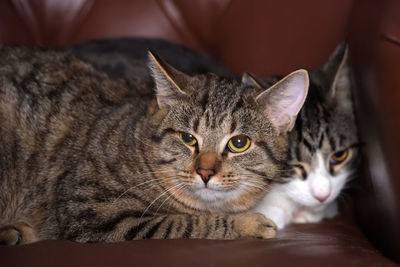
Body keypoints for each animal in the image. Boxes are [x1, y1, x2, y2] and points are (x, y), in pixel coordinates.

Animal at [0, 45, 310, 246]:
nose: (205, 172)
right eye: (188, 138)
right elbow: (181, 223)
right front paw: (248, 224)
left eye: (239, 143)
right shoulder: (93, 211)